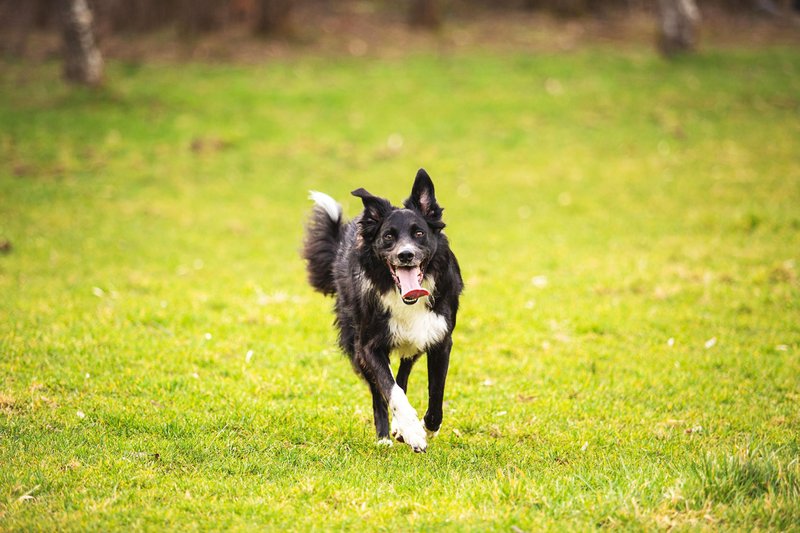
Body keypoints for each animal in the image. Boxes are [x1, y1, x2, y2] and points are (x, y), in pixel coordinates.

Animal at [302, 168, 462, 450]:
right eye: (388, 236)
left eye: (419, 233)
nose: (405, 255)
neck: (405, 299)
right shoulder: (368, 346)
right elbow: (390, 389)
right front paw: (411, 430)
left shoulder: (439, 339)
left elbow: (435, 397)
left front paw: (424, 427)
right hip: (354, 342)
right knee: (380, 389)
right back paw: (385, 437)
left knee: (403, 373)